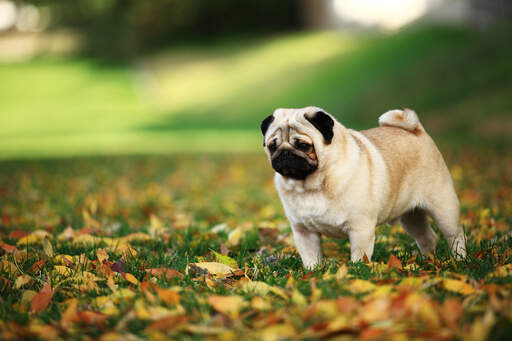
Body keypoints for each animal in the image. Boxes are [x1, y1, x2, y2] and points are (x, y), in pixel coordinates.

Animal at [262, 106, 466, 268]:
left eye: (304, 145)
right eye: (272, 146)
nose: (285, 153)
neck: (310, 185)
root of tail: (417, 130)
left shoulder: (360, 228)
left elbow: (360, 255)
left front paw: (355, 272)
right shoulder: (304, 231)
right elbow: (310, 256)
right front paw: (314, 273)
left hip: (443, 208)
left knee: (455, 235)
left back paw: (460, 259)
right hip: (411, 217)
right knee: (427, 237)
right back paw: (428, 260)